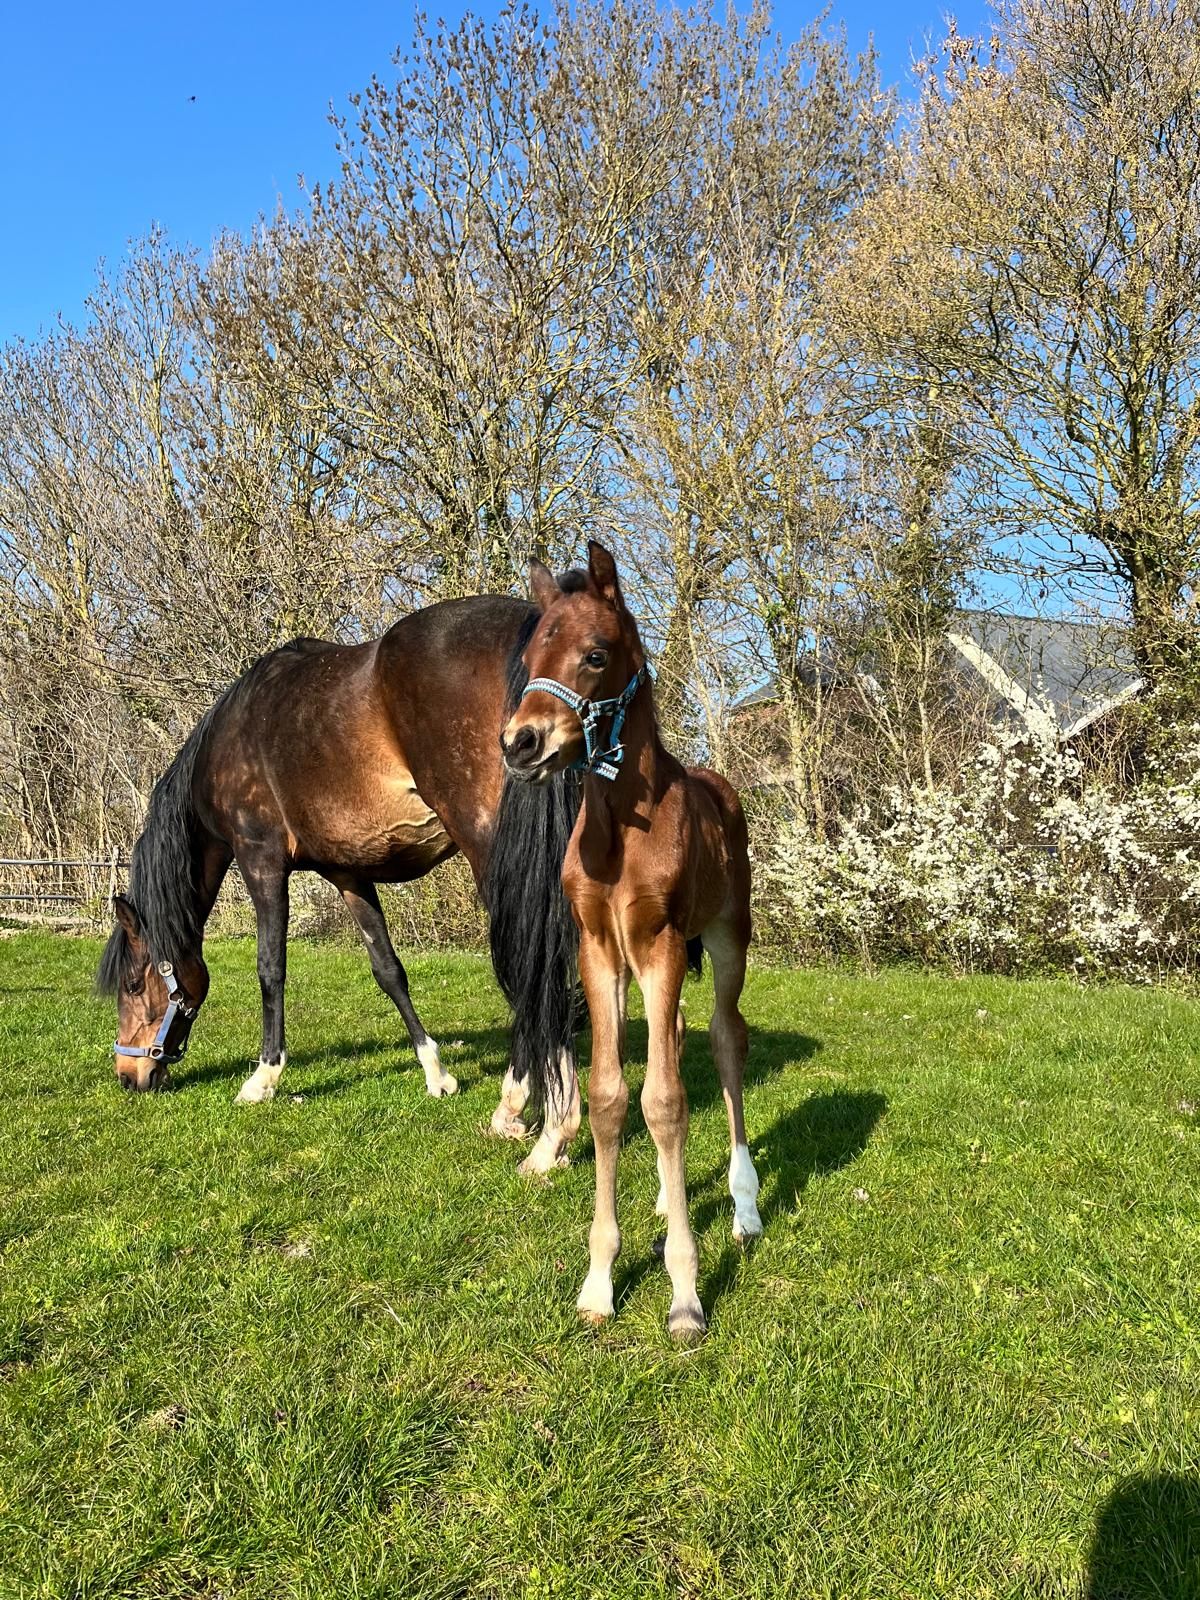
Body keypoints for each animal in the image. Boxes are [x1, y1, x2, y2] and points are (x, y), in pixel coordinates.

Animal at [97, 593, 583, 1177]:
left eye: (132, 985)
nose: (130, 1077)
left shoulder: (260, 862)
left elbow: (270, 969)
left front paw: (263, 1078)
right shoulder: (348, 873)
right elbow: (388, 970)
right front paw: (436, 1072)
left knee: (534, 964)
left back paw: (543, 1125)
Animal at [500, 542, 762, 1339]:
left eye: (594, 654)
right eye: (530, 659)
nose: (519, 743)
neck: (620, 826)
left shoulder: (664, 943)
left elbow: (669, 1103)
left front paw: (685, 1295)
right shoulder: (600, 952)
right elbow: (614, 1096)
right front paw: (599, 1283)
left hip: (727, 940)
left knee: (725, 1040)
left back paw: (745, 1207)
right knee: (671, 1039)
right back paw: (666, 1197)